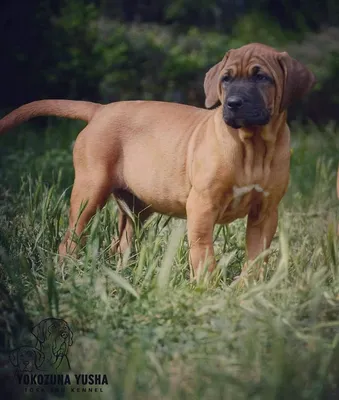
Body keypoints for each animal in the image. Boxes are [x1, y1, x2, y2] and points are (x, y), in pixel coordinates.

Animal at [0, 43, 316, 280]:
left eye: (262, 78)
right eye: (226, 79)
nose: (234, 103)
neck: (253, 146)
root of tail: (100, 110)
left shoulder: (266, 212)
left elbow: (256, 257)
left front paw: (247, 291)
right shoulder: (202, 205)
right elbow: (204, 252)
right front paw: (207, 287)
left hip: (136, 206)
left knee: (122, 243)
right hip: (90, 191)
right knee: (71, 238)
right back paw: (67, 273)